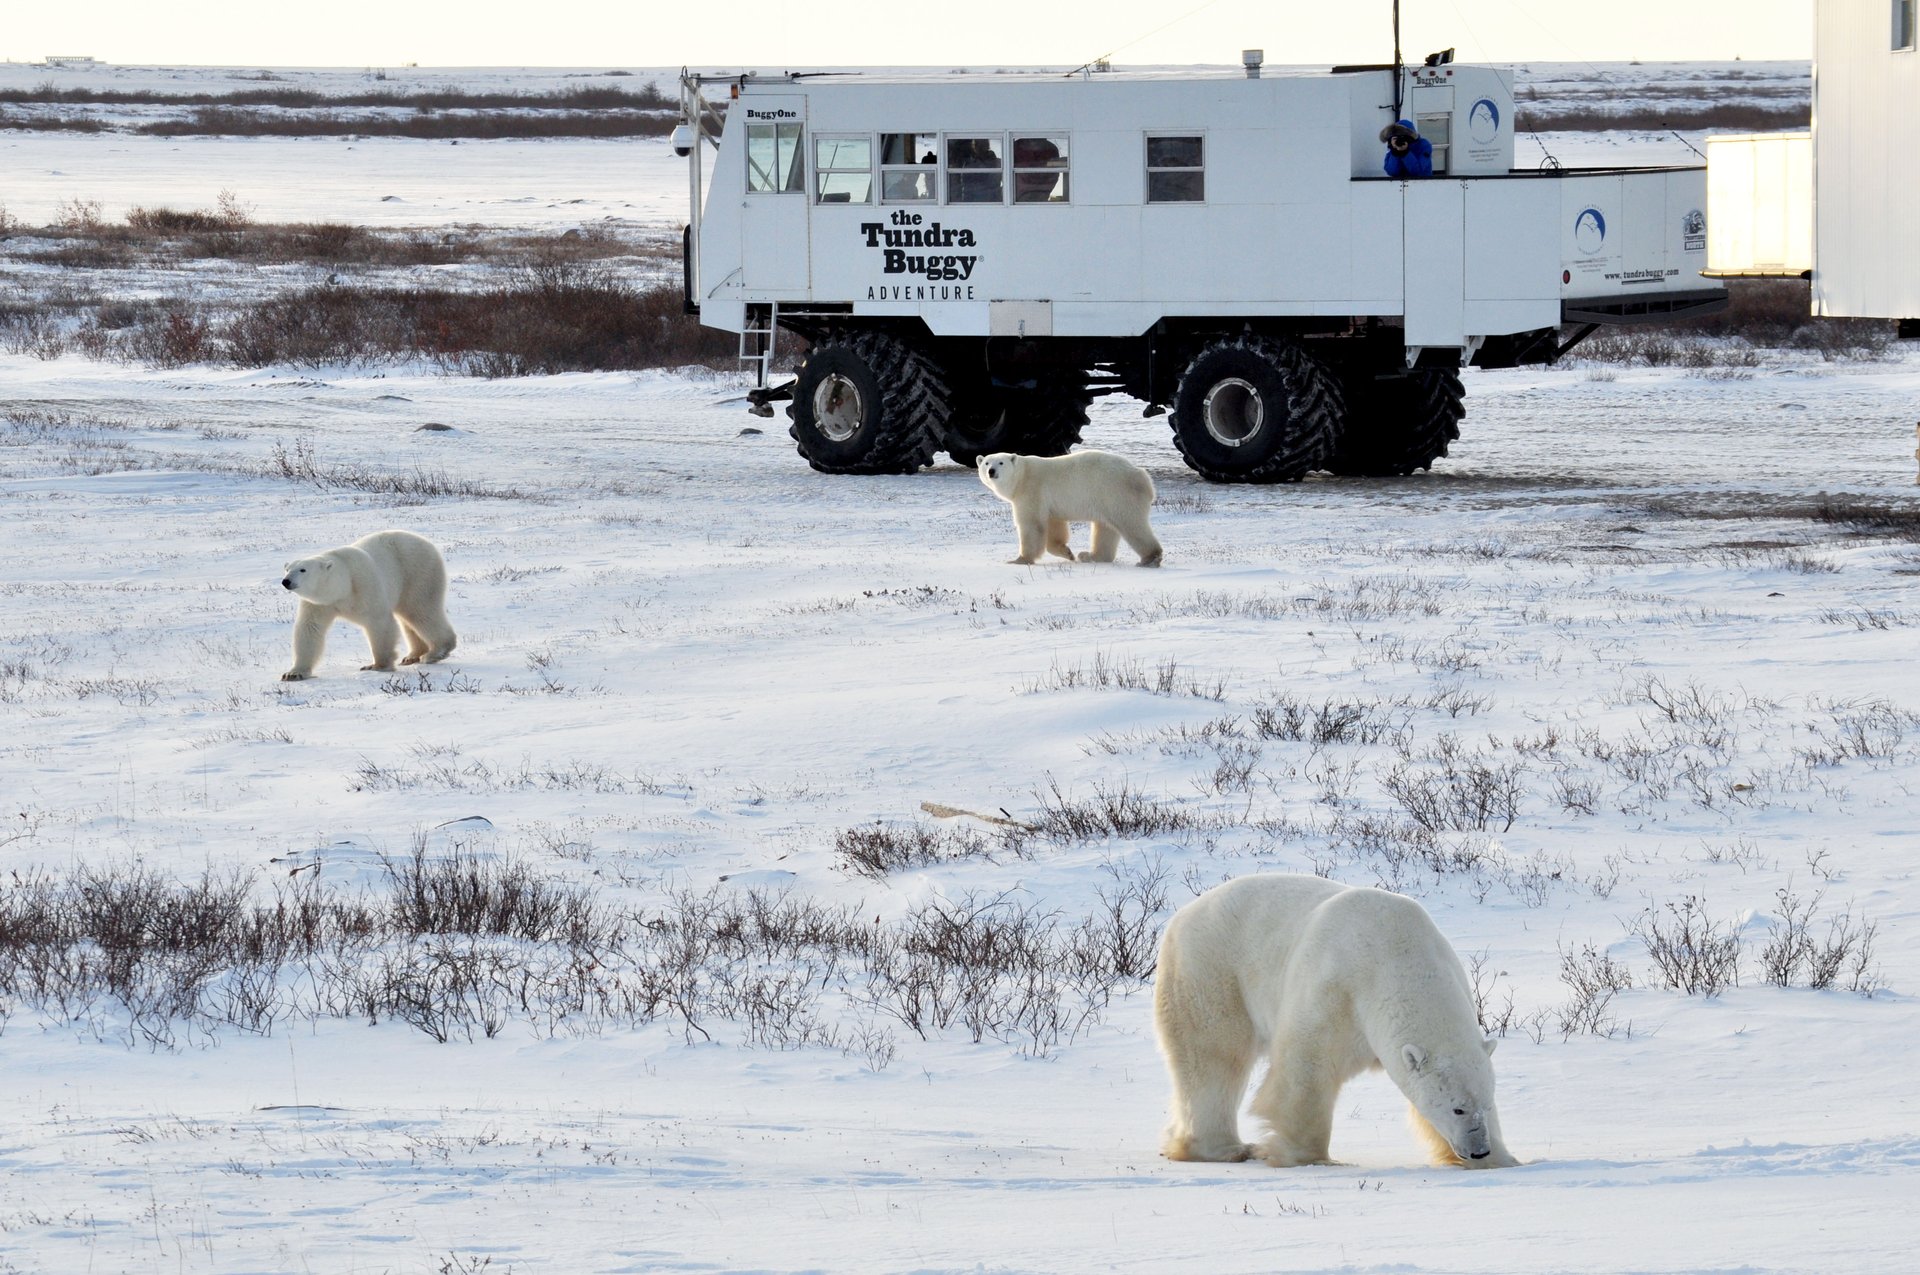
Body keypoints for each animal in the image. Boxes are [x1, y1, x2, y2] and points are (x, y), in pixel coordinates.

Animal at [279, 529, 457, 681]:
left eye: (303, 570)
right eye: (287, 569)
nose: (286, 581)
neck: (343, 586)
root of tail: (426, 542)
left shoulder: (364, 585)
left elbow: (379, 622)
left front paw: (378, 665)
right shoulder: (319, 604)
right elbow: (310, 628)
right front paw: (293, 674)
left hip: (417, 573)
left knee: (420, 610)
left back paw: (435, 652)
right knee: (408, 617)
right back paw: (411, 656)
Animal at [977, 450, 1162, 567]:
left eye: (1001, 462)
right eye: (986, 462)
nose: (991, 471)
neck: (1022, 476)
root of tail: (1143, 477)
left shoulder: (1032, 490)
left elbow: (1032, 524)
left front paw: (1020, 559)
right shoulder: (1050, 503)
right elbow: (1054, 526)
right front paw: (1068, 553)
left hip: (1116, 492)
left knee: (1131, 524)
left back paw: (1150, 559)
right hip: (1106, 499)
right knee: (1105, 527)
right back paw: (1090, 556)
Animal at [1153, 874, 1517, 1170]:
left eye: (1486, 1105)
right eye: (1457, 1109)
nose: (1479, 1150)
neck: (1397, 950)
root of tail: (1182, 915)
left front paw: (1504, 1159)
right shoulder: (1336, 984)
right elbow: (1307, 1067)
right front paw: (1310, 1157)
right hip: (1211, 971)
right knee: (1215, 1057)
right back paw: (1227, 1148)